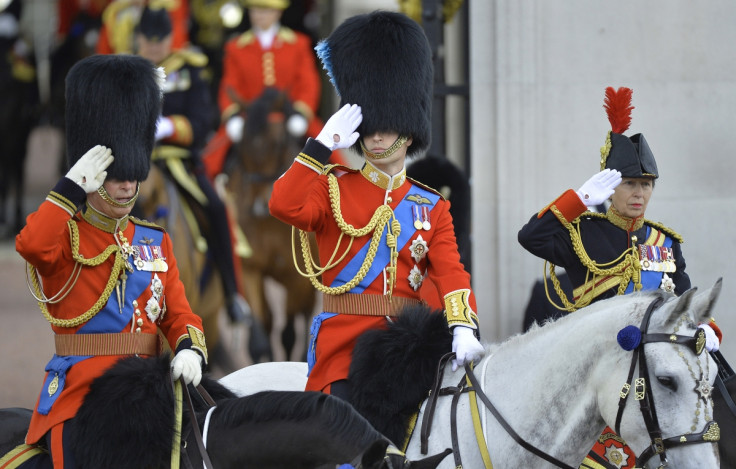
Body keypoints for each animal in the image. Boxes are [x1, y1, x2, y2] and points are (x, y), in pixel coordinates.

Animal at [224, 88, 316, 362]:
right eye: (241, 146)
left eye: (277, 144)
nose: (258, 206)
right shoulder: (250, 269)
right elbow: (262, 323)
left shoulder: (296, 278)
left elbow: (288, 329)